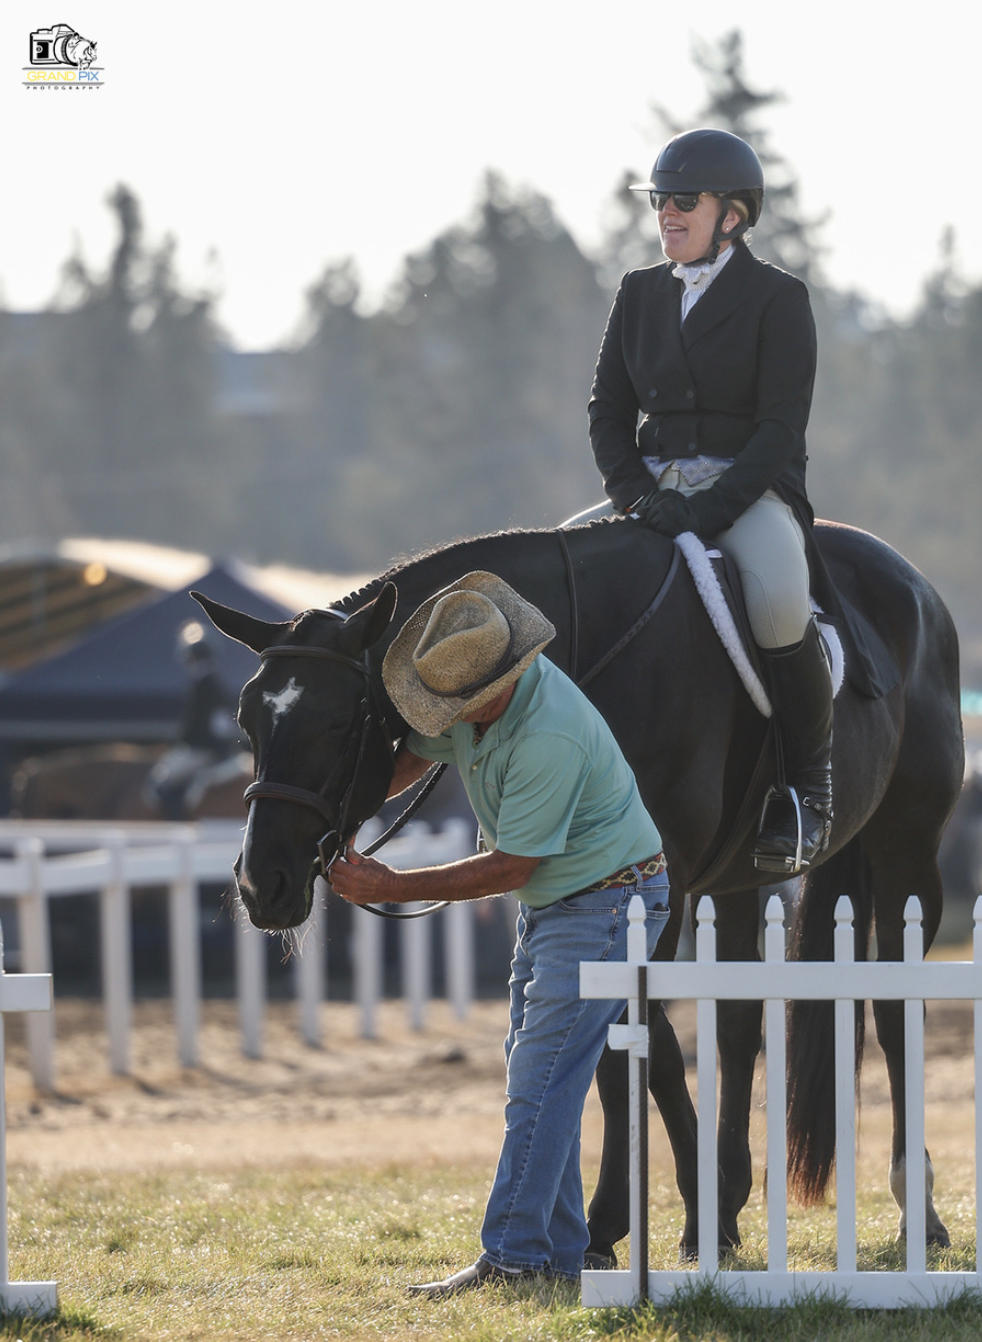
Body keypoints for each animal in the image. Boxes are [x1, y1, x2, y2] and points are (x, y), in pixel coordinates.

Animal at [195, 512, 960, 1256]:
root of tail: (915, 586)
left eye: (337, 721)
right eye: (246, 719)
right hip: (739, 884)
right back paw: (735, 1194)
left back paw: (916, 1211)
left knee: (896, 1015)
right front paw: (660, 1217)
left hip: (905, 853)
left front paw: (648, 1222)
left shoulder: (658, 881)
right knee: (740, 1025)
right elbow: (625, 1046)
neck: (585, 646)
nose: (264, 882)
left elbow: (639, 1044)